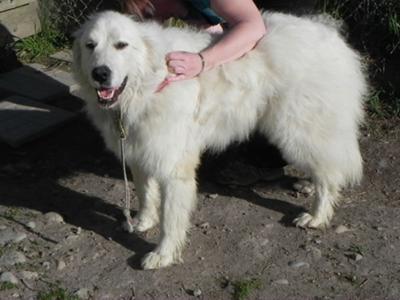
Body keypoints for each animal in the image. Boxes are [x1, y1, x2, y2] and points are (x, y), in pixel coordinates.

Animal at [73, 11, 368, 270]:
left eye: (121, 45)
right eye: (90, 45)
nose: (100, 73)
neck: (147, 86)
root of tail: (329, 33)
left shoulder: (174, 169)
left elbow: (171, 220)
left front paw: (162, 255)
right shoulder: (140, 153)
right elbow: (145, 194)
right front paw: (143, 221)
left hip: (297, 131)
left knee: (328, 175)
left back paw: (317, 215)